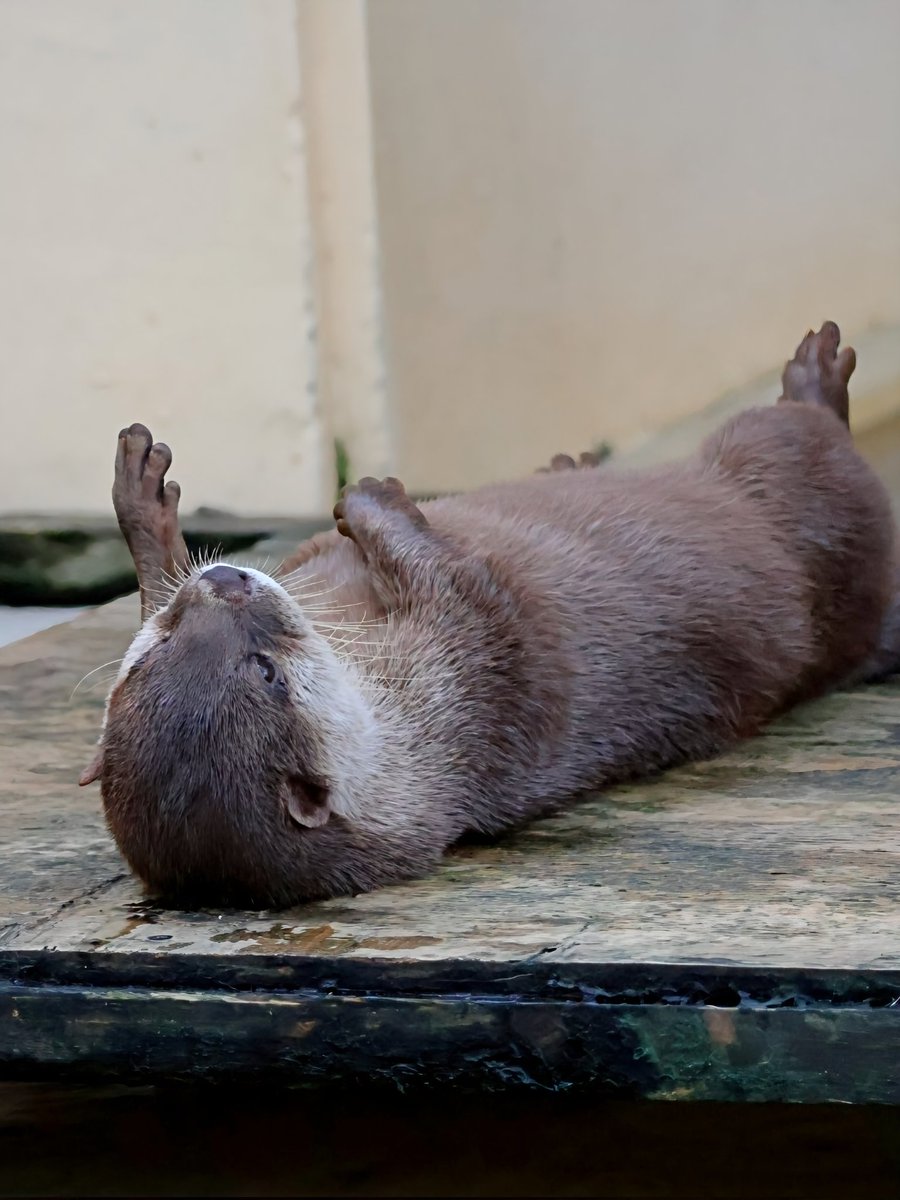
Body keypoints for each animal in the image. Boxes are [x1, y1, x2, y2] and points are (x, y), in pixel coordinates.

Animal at [80, 322, 900, 909]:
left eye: (158, 644)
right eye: (266, 672)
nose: (225, 580)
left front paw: (146, 507)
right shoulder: (473, 668)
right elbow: (468, 582)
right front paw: (371, 493)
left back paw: (567, 463)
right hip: (783, 474)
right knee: (801, 435)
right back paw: (817, 378)